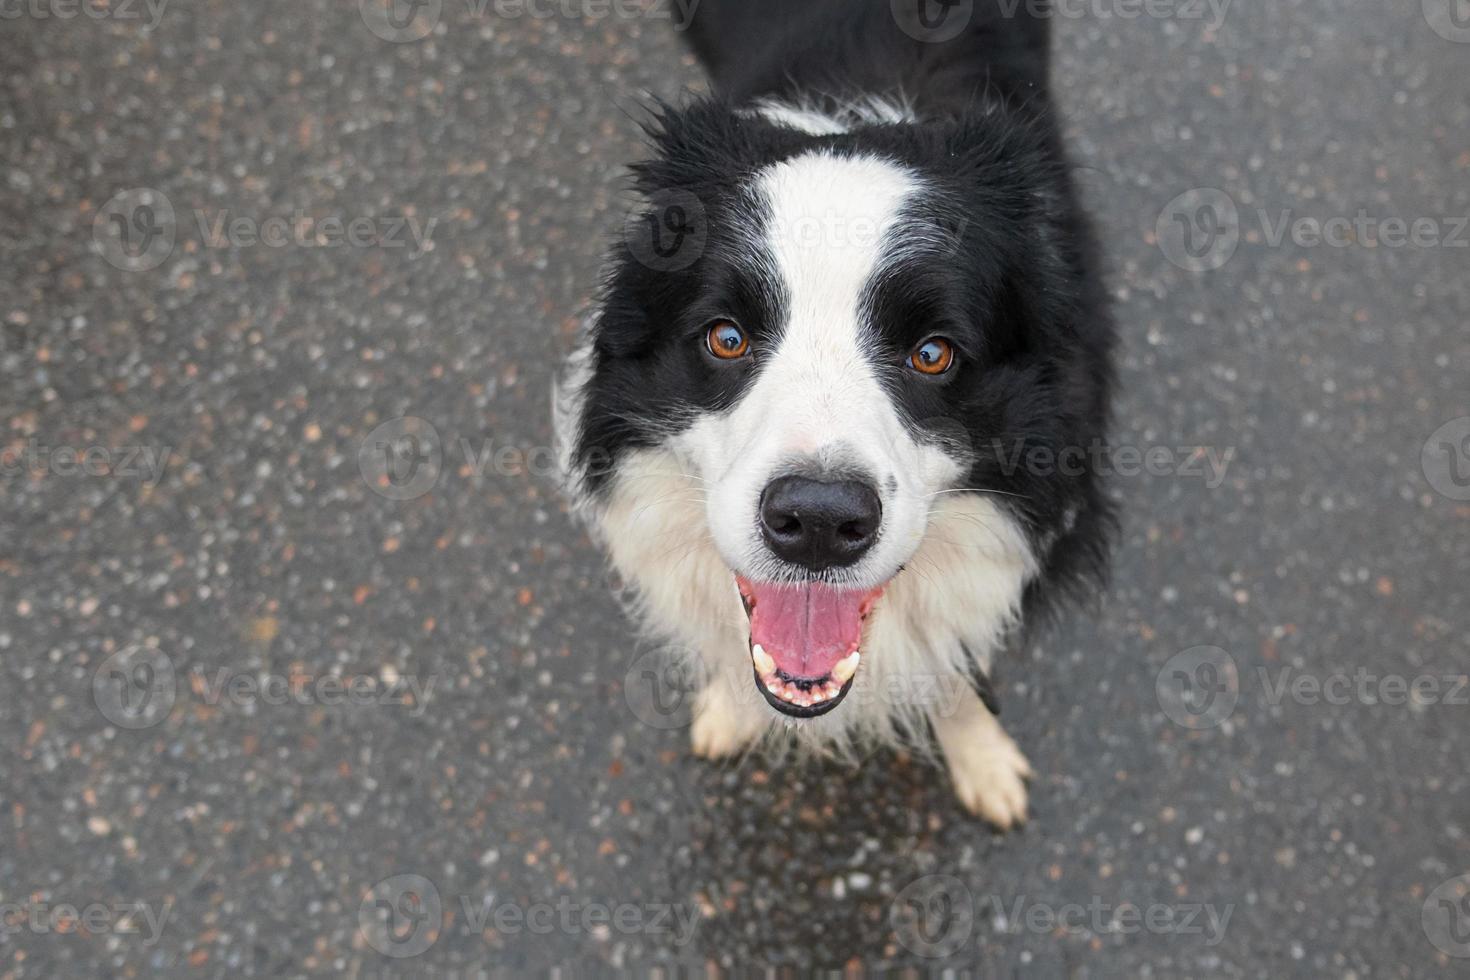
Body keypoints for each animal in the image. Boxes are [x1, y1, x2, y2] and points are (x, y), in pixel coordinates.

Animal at [555, 0, 1105, 828]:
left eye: (934, 353)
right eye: (725, 337)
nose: (817, 520)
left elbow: (952, 659)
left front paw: (981, 755)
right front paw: (731, 708)